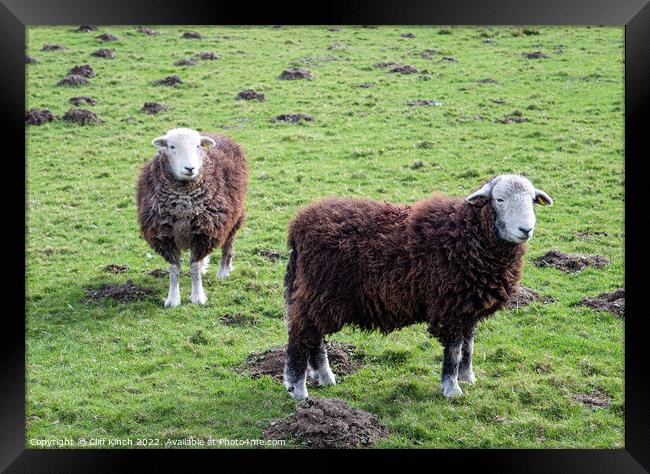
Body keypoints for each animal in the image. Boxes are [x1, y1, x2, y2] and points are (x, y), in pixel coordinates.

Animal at [135, 127, 247, 308]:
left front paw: (197, 296)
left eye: (197, 146)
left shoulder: (204, 233)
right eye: (172, 146)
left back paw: (223, 270)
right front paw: (173, 299)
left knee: (228, 243)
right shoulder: (164, 235)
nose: (190, 168)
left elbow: (193, 266)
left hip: (233, 217)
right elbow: (174, 269)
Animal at [282, 174, 552, 400]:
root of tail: (299, 226)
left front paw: (468, 377)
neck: (468, 235)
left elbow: (469, 346)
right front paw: (452, 389)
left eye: (532, 201)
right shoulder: (450, 306)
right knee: (301, 336)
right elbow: (454, 351)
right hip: (320, 291)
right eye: (500, 199)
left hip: (319, 297)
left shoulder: (468, 306)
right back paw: (297, 388)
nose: (525, 229)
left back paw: (325, 378)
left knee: (314, 337)